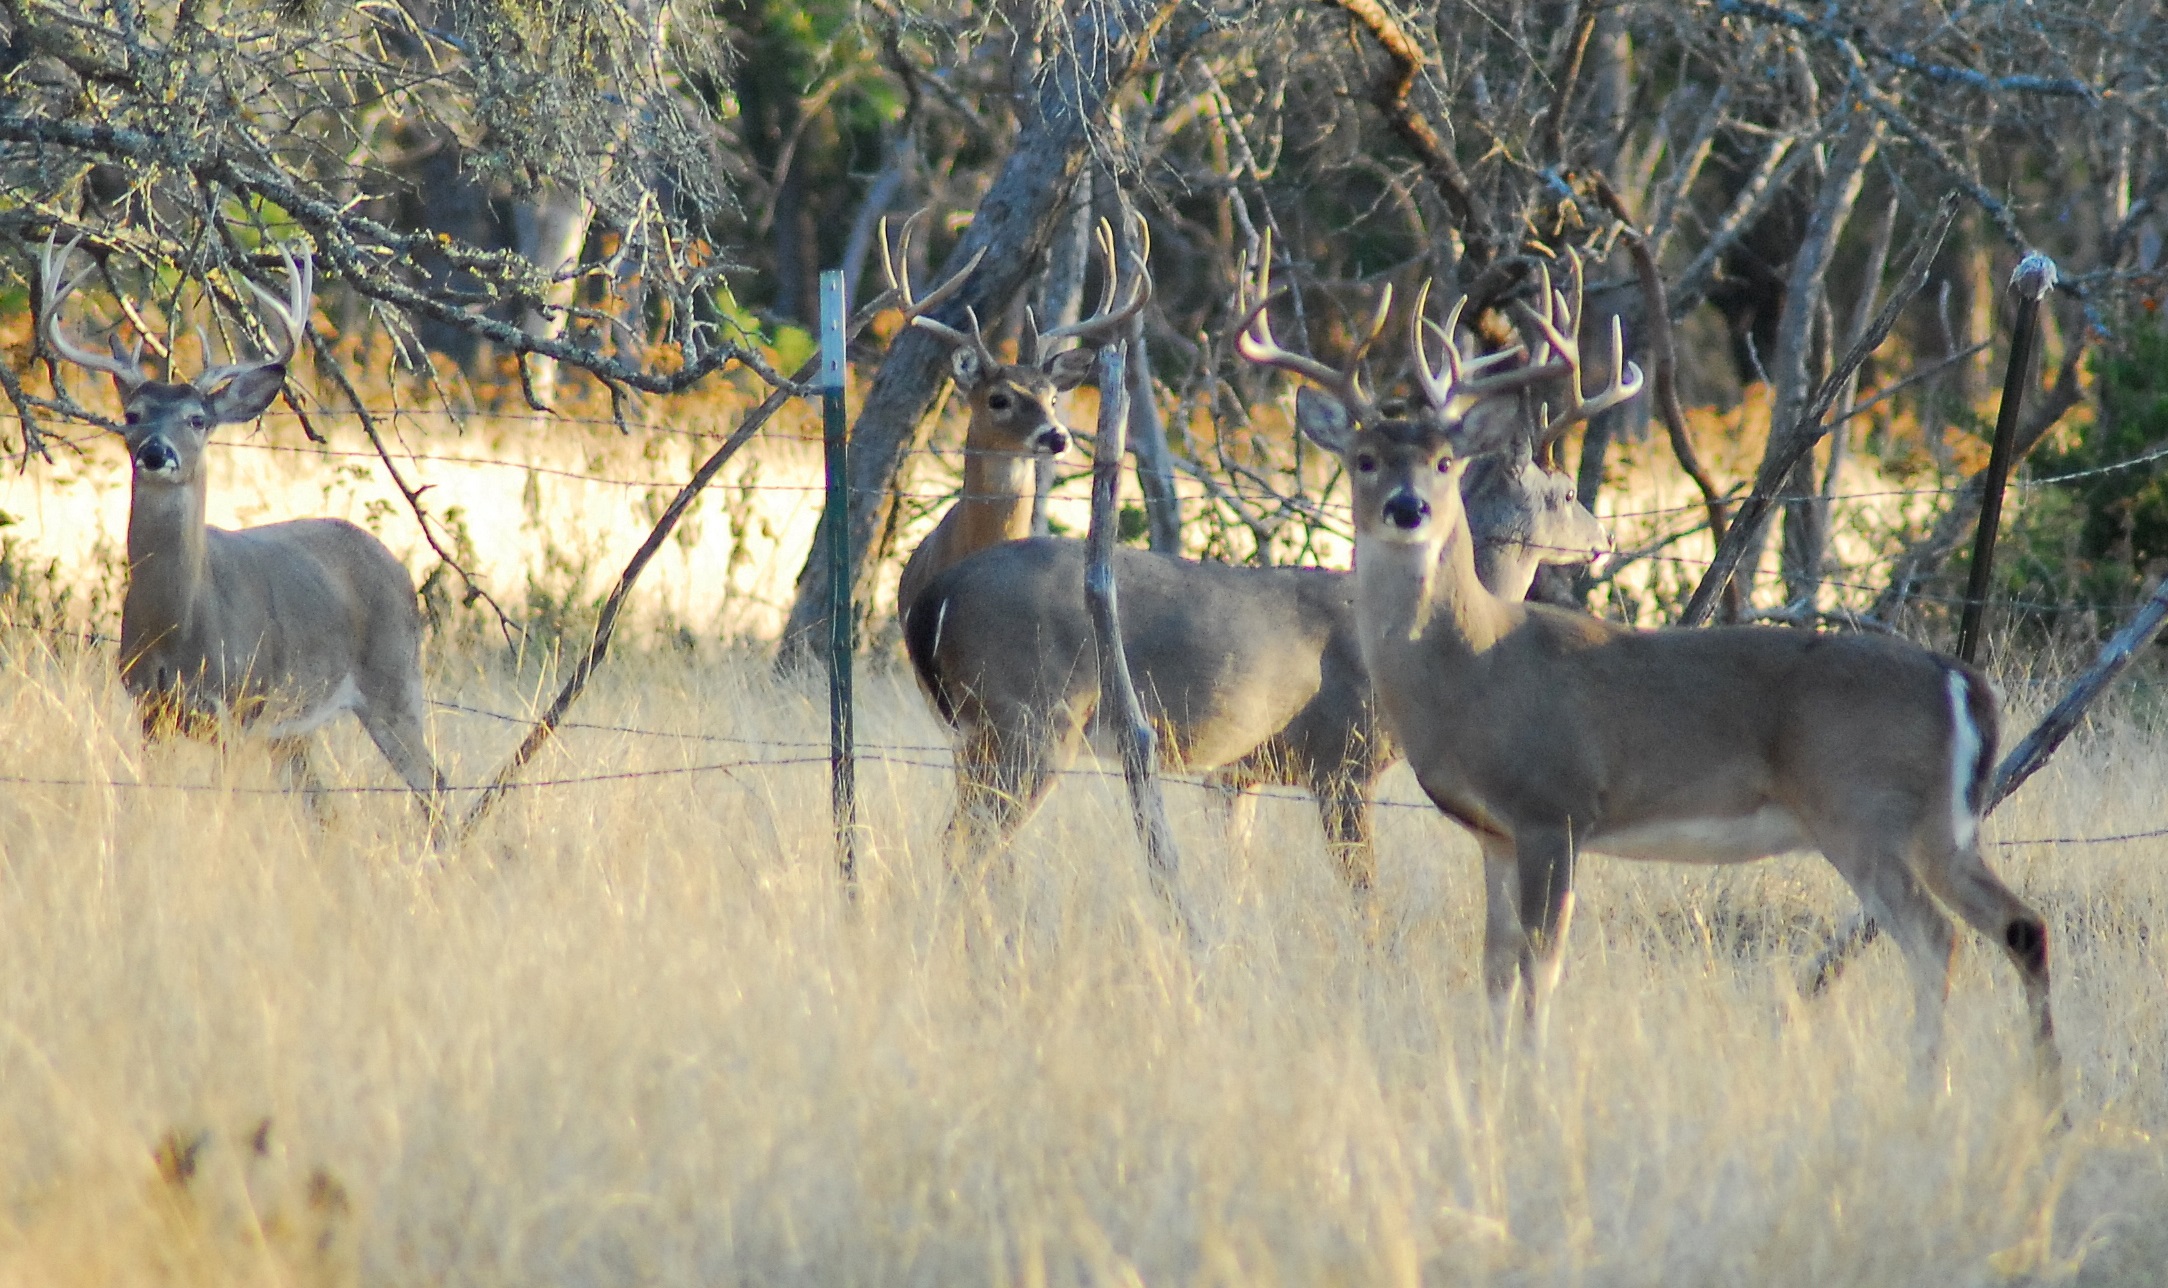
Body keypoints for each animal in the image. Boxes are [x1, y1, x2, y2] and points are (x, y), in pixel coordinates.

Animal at [38, 234, 447, 831]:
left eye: (198, 419)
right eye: (132, 414)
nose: (155, 452)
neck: (179, 627)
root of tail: (395, 564)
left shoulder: (237, 707)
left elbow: (221, 803)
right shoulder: (148, 707)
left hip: (393, 679)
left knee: (434, 786)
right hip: (295, 726)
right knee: (325, 805)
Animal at [901, 235, 1612, 898]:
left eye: (1442, 461)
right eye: (1565, 493)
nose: (1602, 539)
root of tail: (936, 595)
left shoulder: (1235, 774)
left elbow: (1235, 880)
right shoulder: (1343, 760)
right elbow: (1366, 903)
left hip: (977, 732)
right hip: (1029, 719)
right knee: (966, 851)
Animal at [1246, 250, 2058, 1084]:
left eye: (1444, 461)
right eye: (1365, 459)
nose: (1407, 508)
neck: (1473, 667)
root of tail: (1962, 683)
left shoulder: (1555, 807)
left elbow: (1541, 964)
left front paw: (1533, 1075)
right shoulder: (1494, 832)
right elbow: (1496, 964)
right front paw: (1494, 1072)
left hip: (1862, 809)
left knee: (1937, 938)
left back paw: (1932, 1083)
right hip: (1940, 826)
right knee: (2021, 925)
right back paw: (2040, 1087)